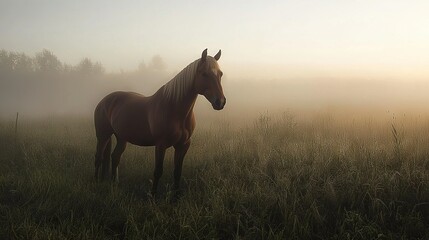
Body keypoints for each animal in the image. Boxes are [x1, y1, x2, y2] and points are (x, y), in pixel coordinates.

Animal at [93, 48, 226, 197]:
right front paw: (153, 195)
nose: (220, 102)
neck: (174, 109)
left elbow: (177, 171)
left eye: (220, 74)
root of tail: (104, 100)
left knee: (115, 157)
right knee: (99, 157)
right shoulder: (161, 145)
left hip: (121, 137)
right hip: (103, 136)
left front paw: (176, 196)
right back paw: (96, 182)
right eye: (204, 74)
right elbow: (158, 171)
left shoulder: (183, 145)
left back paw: (114, 183)